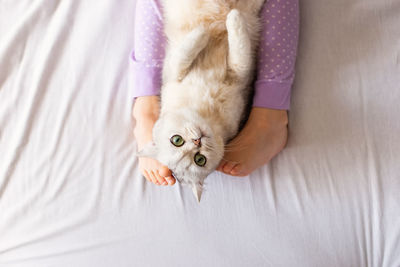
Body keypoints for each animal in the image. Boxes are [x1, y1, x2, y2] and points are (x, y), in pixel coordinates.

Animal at [138, 0, 266, 201]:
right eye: (199, 160)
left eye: (176, 140)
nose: (197, 141)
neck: (207, 108)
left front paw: (207, 30)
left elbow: (184, 53)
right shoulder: (240, 73)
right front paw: (228, 20)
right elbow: (240, 49)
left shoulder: (171, 73)